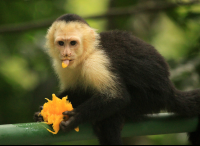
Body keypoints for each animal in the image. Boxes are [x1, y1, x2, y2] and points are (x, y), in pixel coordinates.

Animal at [34, 14, 200, 145]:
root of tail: (169, 89)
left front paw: (75, 117)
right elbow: (76, 90)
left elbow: (117, 96)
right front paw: (43, 110)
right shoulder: (62, 65)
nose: (66, 54)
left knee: (111, 119)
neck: (87, 53)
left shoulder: (96, 62)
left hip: (150, 99)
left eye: (73, 43)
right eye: (61, 43)